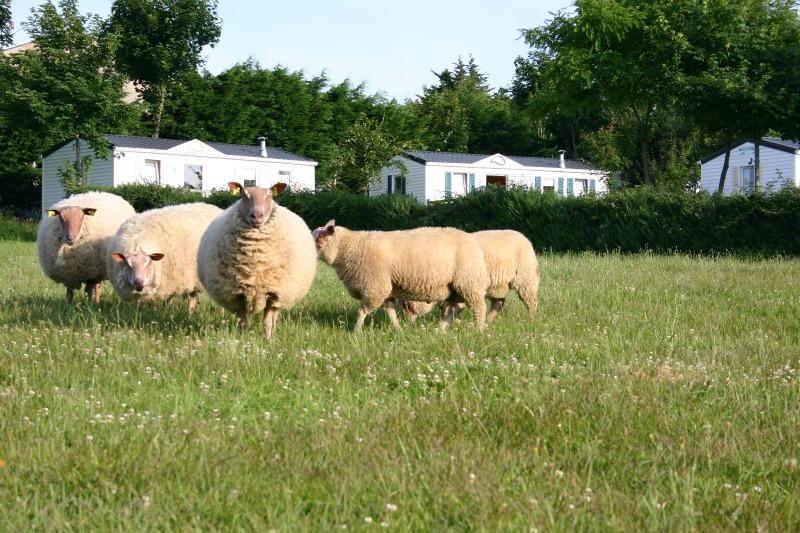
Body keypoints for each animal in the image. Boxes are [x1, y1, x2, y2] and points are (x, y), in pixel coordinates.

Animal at [197, 181, 316, 338]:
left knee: (275, 315)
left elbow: (268, 322)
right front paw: (243, 338)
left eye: (270, 195)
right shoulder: (238, 294)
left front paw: (268, 340)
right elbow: (243, 323)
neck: (256, 258)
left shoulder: (274, 292)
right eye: (243, 195)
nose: (257, 215)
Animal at [310, 219, 488, 328]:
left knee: (479, 307)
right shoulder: (385, 289)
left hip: (468, 282)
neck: (350, 248)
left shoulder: (375, 287)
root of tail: (471, 239)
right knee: (455, 308)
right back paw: (441, 329)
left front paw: (356, 332)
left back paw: (478, 330)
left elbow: (362, 312)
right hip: (453, 288)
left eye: (318, 239)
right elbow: (391, 313)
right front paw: (398, 330)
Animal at [404, 228, 540, 322]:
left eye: (409, 306)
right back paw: (489, 321)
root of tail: (524, 237)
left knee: (531, 301)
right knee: (498, 303)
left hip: (525, 277)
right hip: (498, 286)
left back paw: (532, 320)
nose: (408, 324)